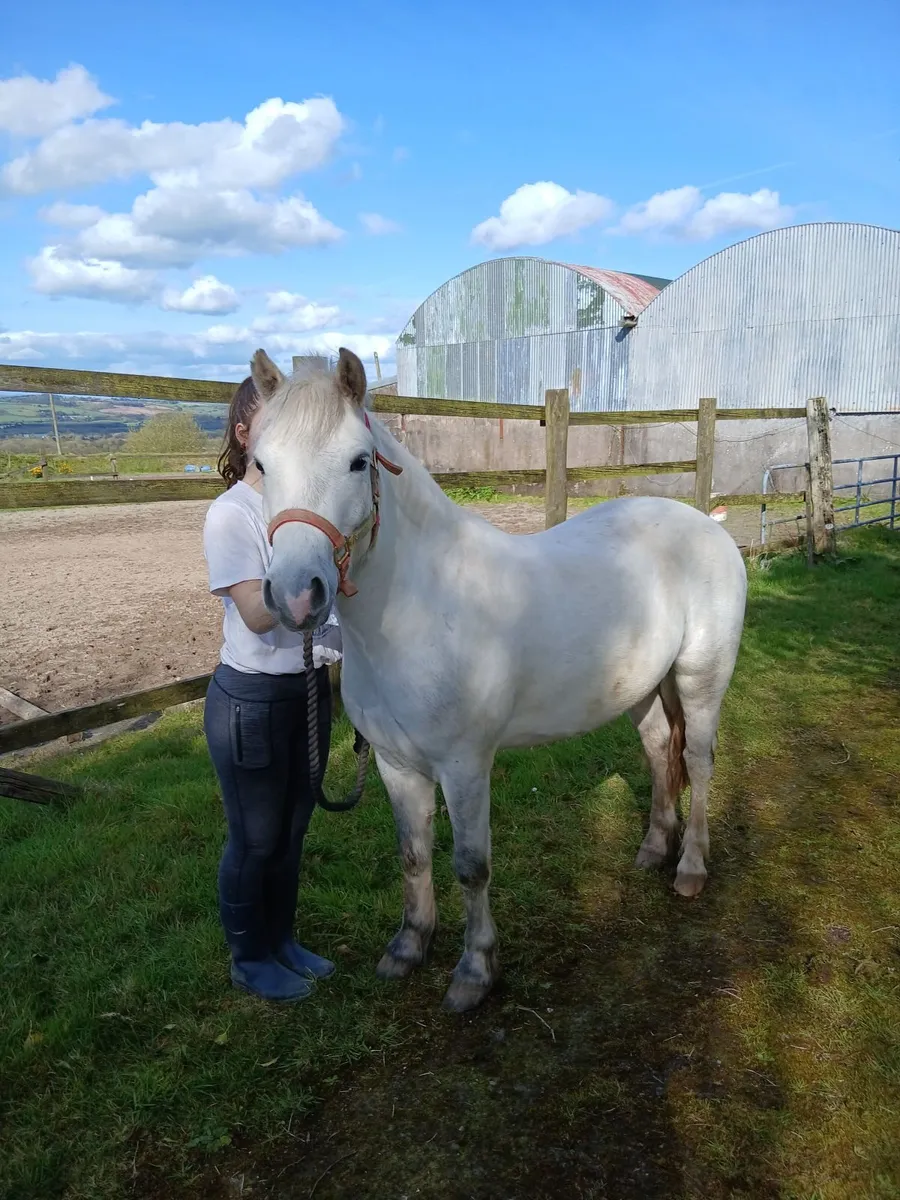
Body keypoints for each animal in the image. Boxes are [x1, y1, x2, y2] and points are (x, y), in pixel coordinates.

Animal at [249, 347, 748, 1013]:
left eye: (358, 461)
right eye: (260, 463)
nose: (296, 596)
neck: (420, 608)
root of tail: (709, 526)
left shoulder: (464, 765)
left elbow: (471, 865)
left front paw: (474, 972)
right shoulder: (395, 764)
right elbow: (413, 855)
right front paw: (408, 947)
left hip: (699, 680)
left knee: (697, 760)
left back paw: (690, 868)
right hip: (643, 688)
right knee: (658, 749)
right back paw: (651, 851)